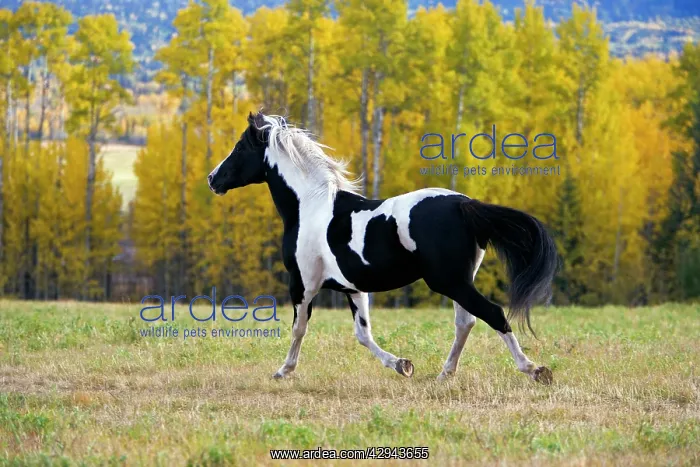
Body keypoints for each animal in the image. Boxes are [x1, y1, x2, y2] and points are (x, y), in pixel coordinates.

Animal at [208, 112, 558, 384]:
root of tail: (464, 204)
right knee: (466, 322)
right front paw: (403, 365)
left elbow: (299, 329)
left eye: (240, 147)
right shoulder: (353, 287)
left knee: (492, 314)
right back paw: (445, 374)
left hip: (448, 281)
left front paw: (284, 371)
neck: (309, 205)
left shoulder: (303, 284)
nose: (213, 179)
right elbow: (363, 334)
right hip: (459, 280)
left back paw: (534, 369)